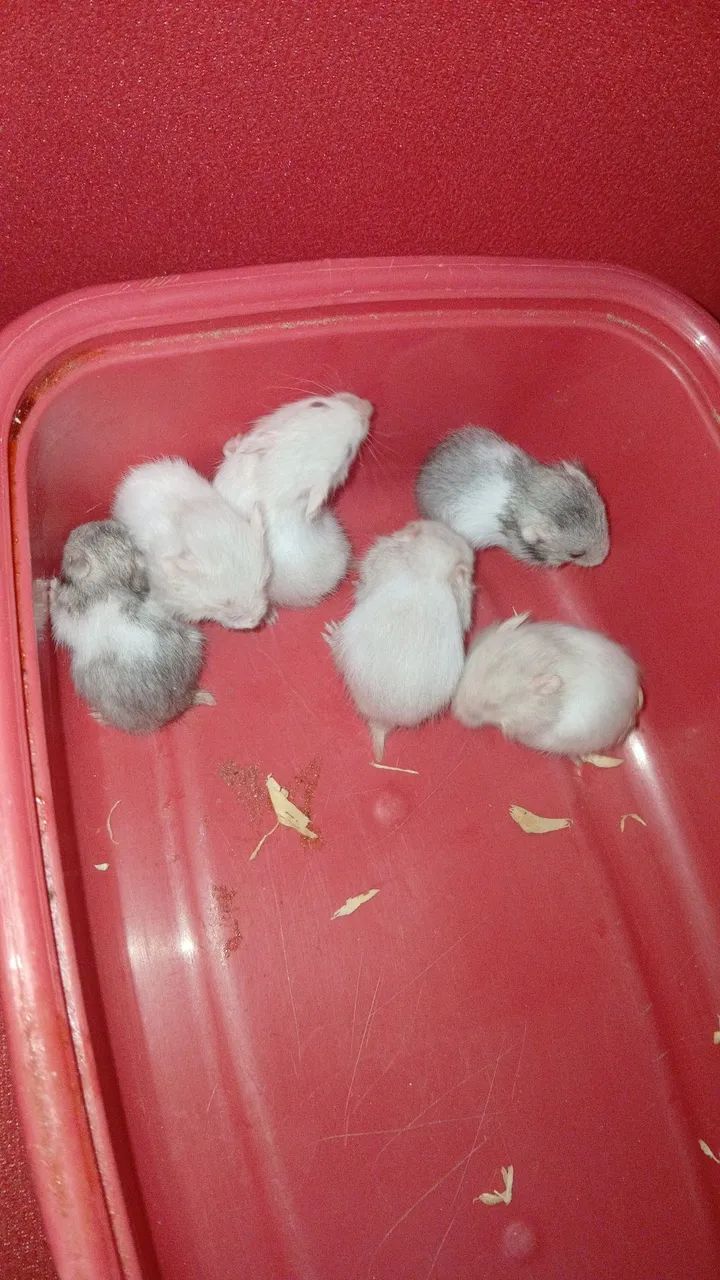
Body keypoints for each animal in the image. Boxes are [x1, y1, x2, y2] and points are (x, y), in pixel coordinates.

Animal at [50, 520, 212, 734]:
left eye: (69, 554)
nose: (73, 531)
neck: (112, 581)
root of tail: (185, 701)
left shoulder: (70, 613)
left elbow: (59, 616)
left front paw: (52, 586)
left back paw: (99, 716)